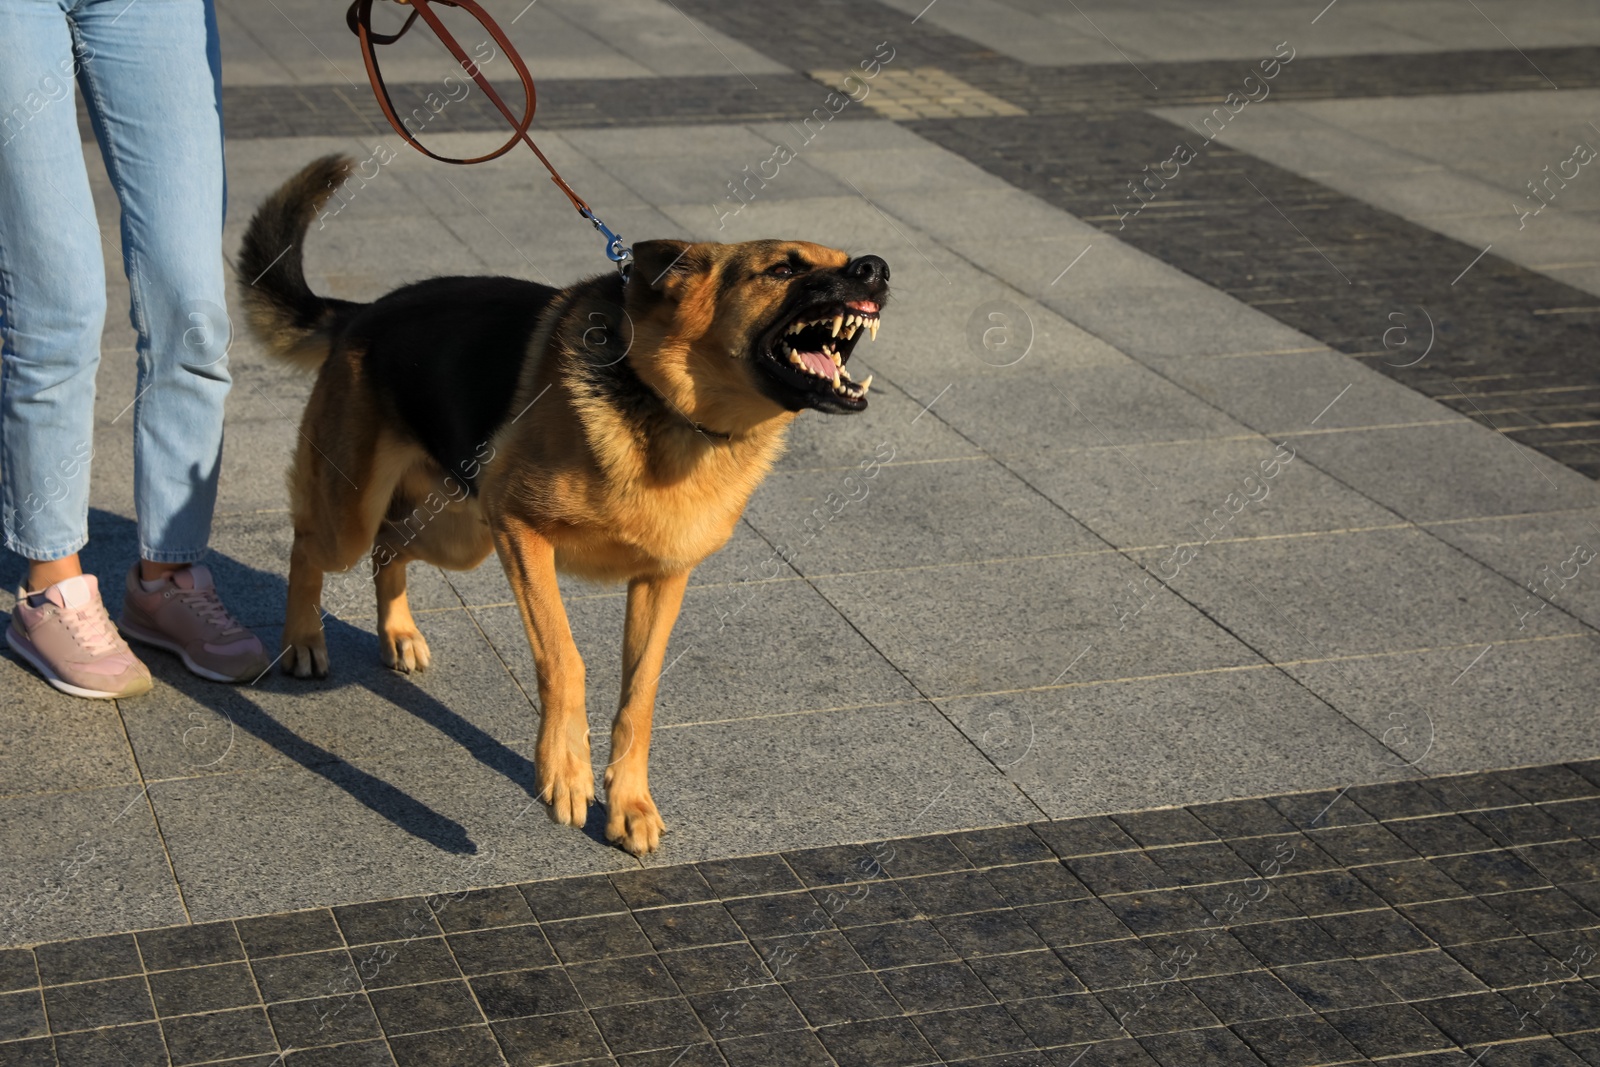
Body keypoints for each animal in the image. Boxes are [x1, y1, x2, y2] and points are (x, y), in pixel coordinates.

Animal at [233, 158, 889, 857]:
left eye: (846, 260)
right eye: (784, 270)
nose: (876, 268)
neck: (668, 406)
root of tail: (365, 313)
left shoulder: (662, 580)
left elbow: (639, 696)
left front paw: (628, 802)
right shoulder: (523, 534)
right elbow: (564, 659)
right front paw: (566, 773)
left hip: (461, 534)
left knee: (391, 544)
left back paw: (398, 632)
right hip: (363, 519)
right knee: (312, 546)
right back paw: (303, 641)